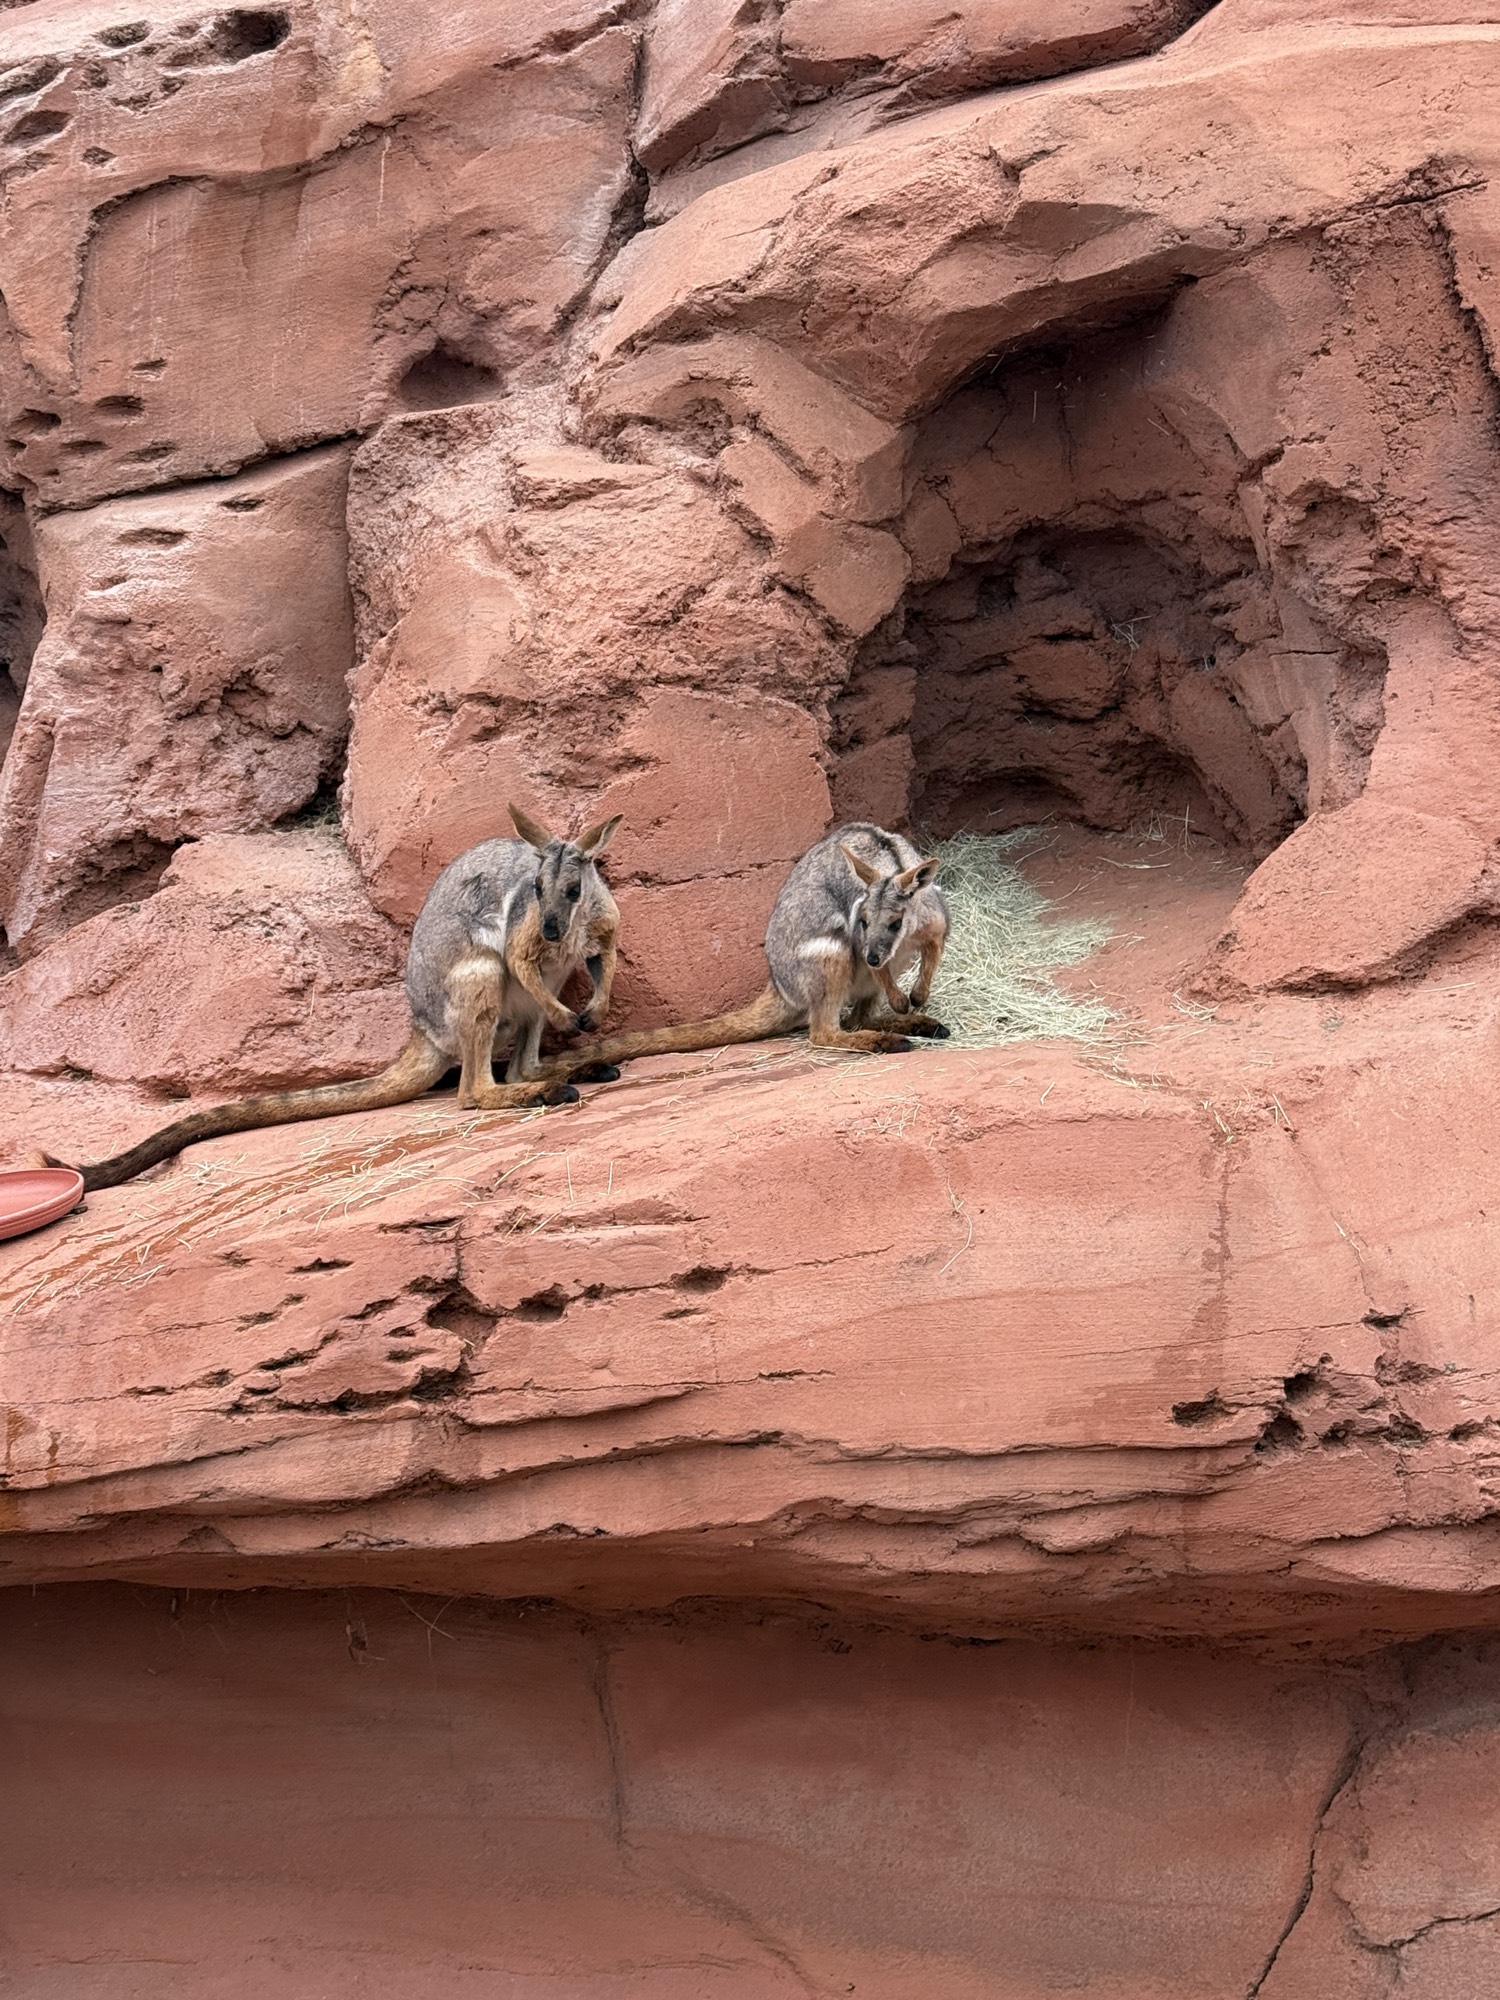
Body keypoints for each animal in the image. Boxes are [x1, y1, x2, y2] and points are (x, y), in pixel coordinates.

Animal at [42, 806, 625, 1191]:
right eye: (534, 888)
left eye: (572, 890)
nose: (550, 930)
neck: (567, 928)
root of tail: (424, 1029)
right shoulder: (521, 941)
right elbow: (523, 962)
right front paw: (573, 1019)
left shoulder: (599, 928)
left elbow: (605, 959)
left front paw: (593, 1011)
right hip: (478, 976)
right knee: (474, 1090)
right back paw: (550, 1087)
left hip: (523, 1000)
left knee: (519, 1062)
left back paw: (575, 1068)